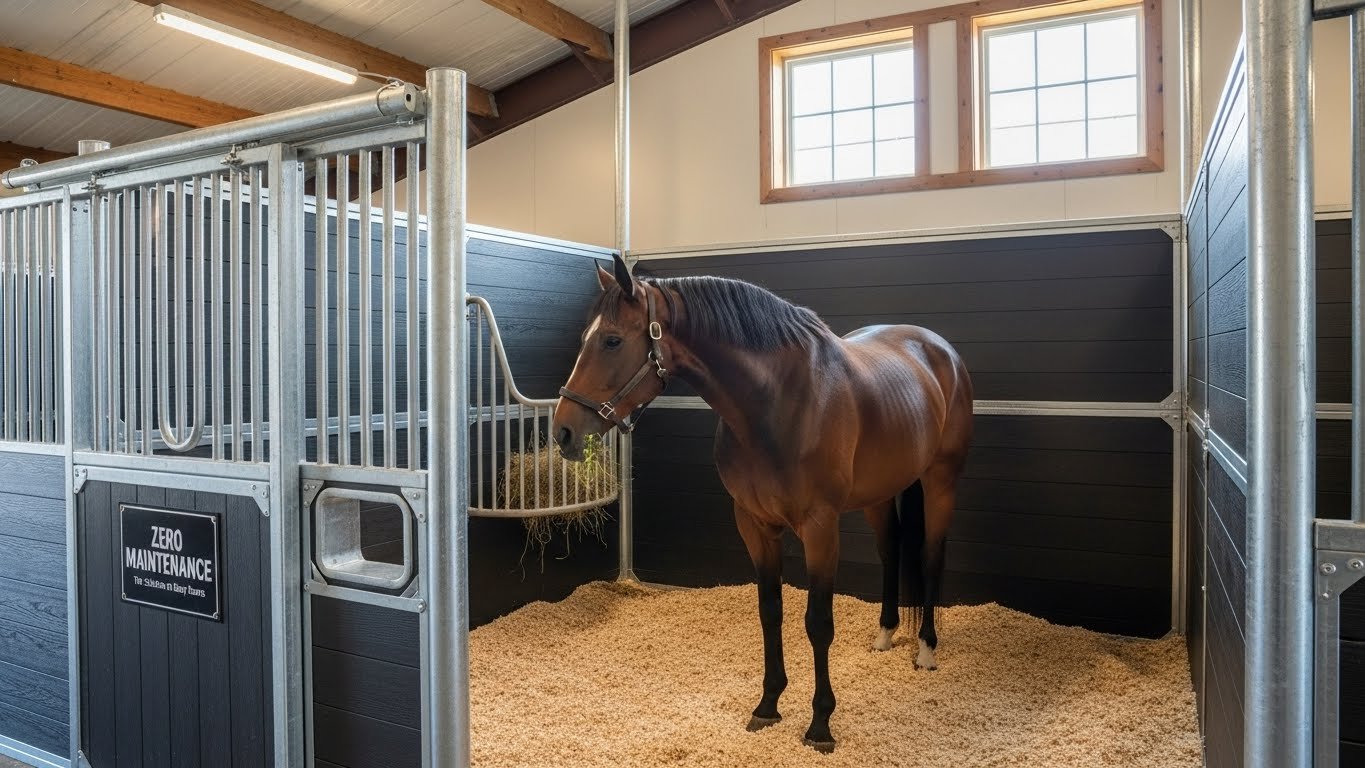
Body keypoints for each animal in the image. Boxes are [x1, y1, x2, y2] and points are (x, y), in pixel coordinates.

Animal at [552, 254, 973, 753]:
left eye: (612, 340)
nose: (563, 431)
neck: (779, 404)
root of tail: (938, 348)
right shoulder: (754, 524)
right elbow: (770, 612)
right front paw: (768, 704)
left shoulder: (820, 527)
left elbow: (818, 622)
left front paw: (820, 724)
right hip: (880, 492)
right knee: (890, 552)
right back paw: (886, 634)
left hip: (940, 481)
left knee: (930, 556)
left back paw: (926, 649)